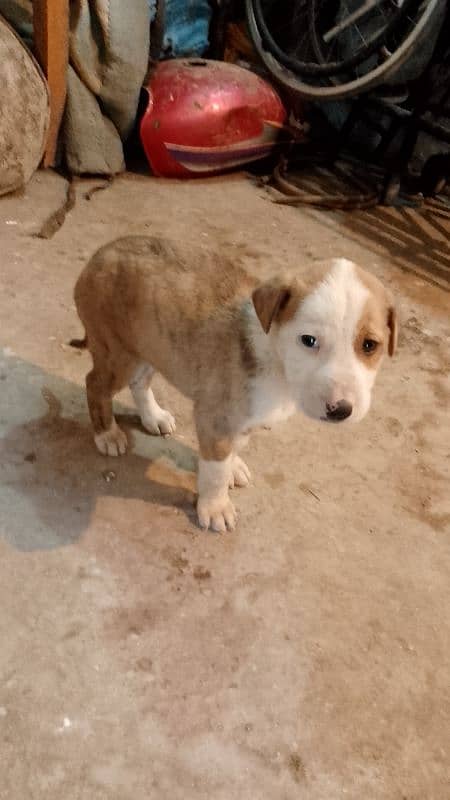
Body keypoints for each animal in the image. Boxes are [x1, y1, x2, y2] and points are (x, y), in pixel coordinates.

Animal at [74, 236, 398, 532]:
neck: (277, 364)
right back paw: (108, 435)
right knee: (95, 383)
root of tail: (102, 252)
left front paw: (233, 466)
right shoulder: (216, 417)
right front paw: (215, 506)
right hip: (117, 353)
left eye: (370, 345)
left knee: (139, 381)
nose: (340, 410)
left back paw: (153, 416)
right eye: (308, 340)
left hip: (148, 347)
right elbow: (215, 469)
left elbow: (236, 445)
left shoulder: (245, 416)